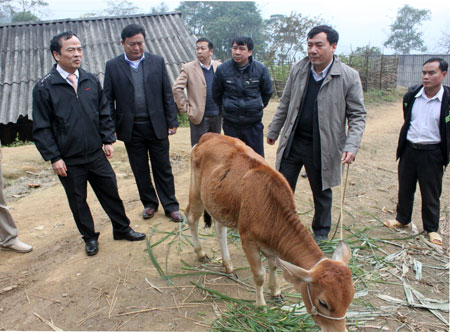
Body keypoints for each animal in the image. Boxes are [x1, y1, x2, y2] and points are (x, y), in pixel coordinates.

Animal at [185, 134, 354, 332]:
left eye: (350, 299)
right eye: (323, 303)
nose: (340, 330)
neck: (271, 207)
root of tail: (209, 136)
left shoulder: (273, 244)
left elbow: (273, 266)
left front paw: (276, 291)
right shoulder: (247, 240)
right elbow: (259, 275)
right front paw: (261, 305)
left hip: (219, 201)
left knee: (220, 229)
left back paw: (228, 265)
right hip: (197, 191)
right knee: (191, 218)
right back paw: (201, 253)